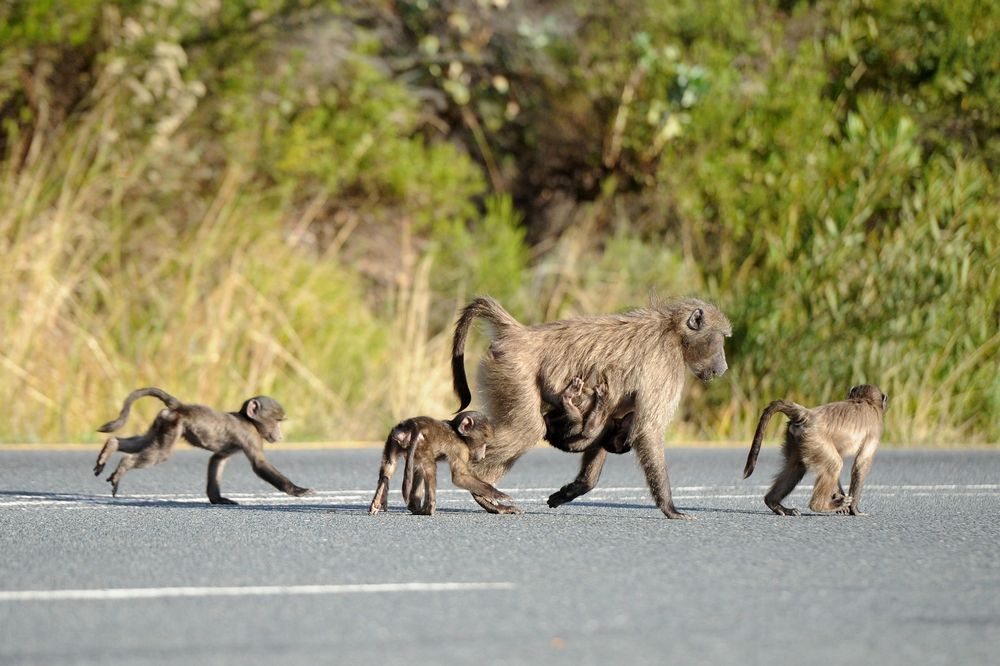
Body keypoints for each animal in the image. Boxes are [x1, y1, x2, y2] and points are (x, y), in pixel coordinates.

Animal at [95, 387, 313, 504]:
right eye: (277, 420)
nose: (280, 435)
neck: (248, 421)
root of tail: (181, 406)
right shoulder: (250, 436)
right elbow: (259, 465)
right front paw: (297, 490)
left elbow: (217, 459)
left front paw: (218, 500)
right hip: (173, 424)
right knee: (161, 454)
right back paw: (124, 465)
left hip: (163, 422)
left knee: (144, 441)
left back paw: (110, 447)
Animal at [368, 411, 515, 516]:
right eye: (483, 442)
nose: (483, 455)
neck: (457, 433)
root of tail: (410, 425)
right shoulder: (461, 449)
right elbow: (460, 477)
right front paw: (497, 495)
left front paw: (497, 505)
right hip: (420, 442)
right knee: (429, 468)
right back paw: (429, 509)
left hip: (395, 440)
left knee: (390, 466)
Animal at [451, 296, 731, 518]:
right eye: (721, 338)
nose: (724, 367)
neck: (673, 331)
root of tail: (520, 333)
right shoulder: (664, 365)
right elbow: (648, 430)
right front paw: (670, 509)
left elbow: (602, 430)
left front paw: (572, 490)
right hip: (514, 374)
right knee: (527, 429)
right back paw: (481, 490)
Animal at [743, 384, 888, 517]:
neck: (865, 400)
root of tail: (808, 414)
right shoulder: (876, 429)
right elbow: (861, 463)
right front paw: (854, 509)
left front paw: (842, 503)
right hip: (815, 438)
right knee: (834, 464)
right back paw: (820, 506)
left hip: (799, 439)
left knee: (797, 468)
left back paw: (775, 504)